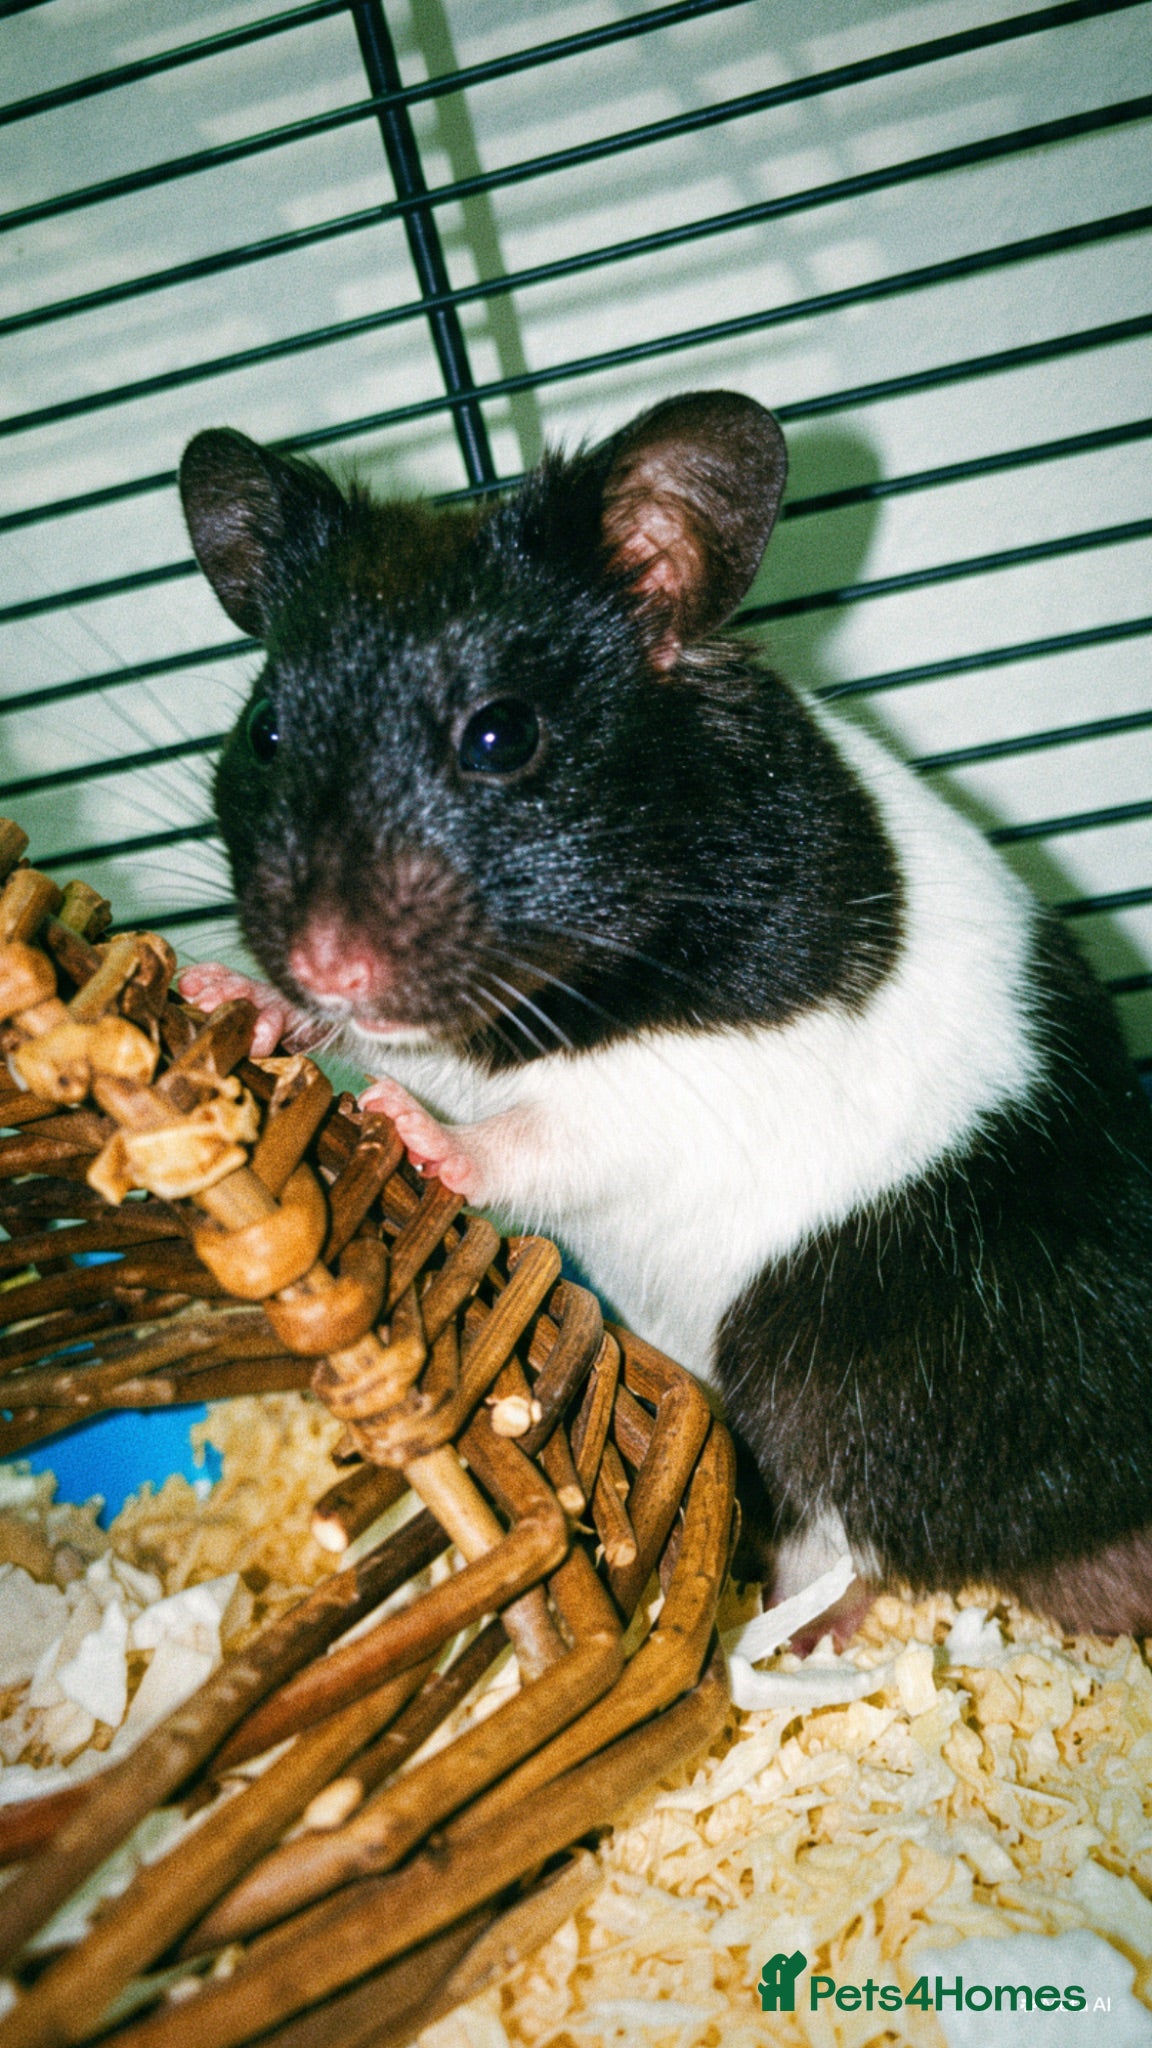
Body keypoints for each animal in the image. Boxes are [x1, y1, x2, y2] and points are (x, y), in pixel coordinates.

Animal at [178, 392, 1152, 1635]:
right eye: (264, 729)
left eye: (501, 734)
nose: (325, 959)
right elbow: (349, 1041)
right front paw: (226, 1000)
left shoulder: (691, 1088)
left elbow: (543, 1133)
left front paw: (406, 1125)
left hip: (824, 1374)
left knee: (852, 1557)